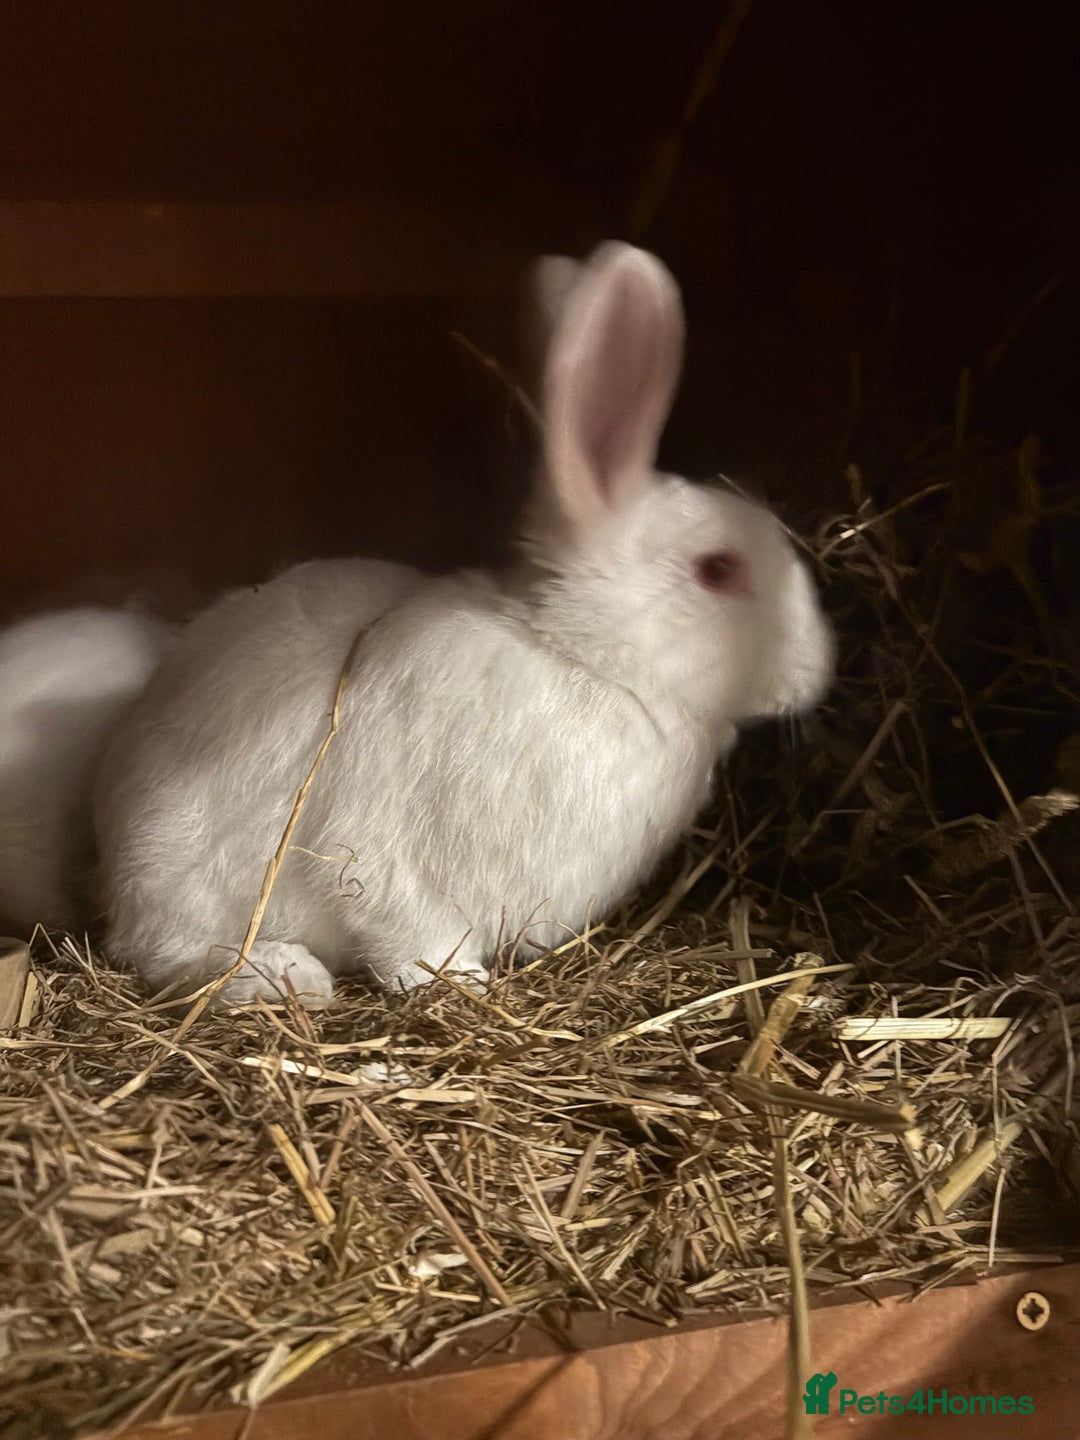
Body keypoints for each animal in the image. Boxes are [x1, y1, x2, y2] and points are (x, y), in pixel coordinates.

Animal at [95, 241, 834, 1008]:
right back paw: (285, 975)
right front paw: (461, 983)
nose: (817, 670)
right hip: (174, 874)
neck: (580, 657)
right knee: (169, 955)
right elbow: (408, 927)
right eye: (718, 570)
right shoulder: (383, 857)